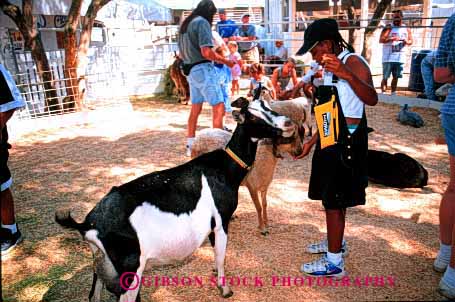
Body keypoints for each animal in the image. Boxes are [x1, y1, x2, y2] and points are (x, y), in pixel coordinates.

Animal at [55, 96, 296, 302]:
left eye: (268, 106)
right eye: (253, 116)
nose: (287, 122)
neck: (225, 167)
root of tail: (89, 224)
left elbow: (216, 252)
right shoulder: (221, 221)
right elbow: (221, 255)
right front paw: (224, 288)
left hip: (101, 264)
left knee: (93, 295)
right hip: (131, 269)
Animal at [192, 95, 310, 235]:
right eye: (288, 138)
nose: (300, 152)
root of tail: (199, 135)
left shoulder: (264, 186)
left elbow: (265, 204)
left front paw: (267, 223)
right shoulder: (252, 186)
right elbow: (258, 207)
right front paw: (262, 228)